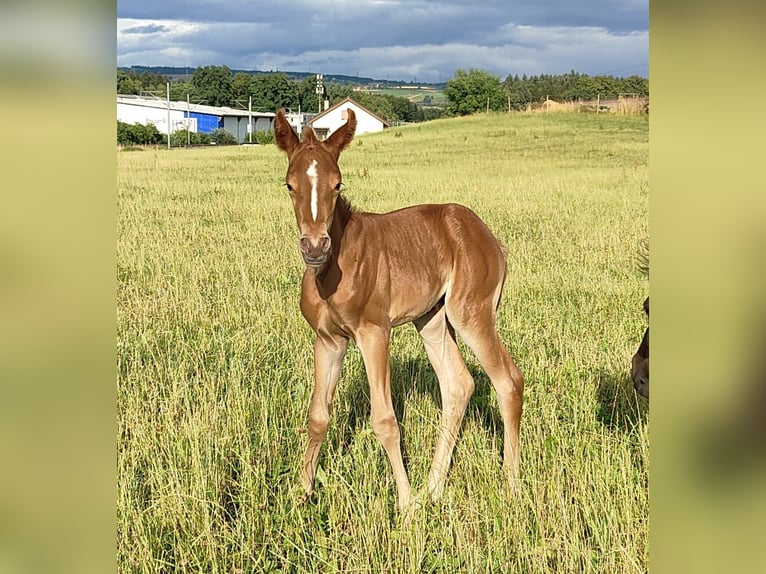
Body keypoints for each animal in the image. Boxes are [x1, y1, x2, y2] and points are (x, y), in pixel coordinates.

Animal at [272, 108, 524, 512]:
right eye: (289, 185)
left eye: (338, 184)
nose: (314, 247)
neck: (334, 268)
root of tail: (490, 237)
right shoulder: (328, 340)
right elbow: (318, 416)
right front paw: (301, 494)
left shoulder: (374, 332)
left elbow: (385, 420)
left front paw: (405, 505)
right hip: (432, 320)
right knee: (459, 385)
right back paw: (433, 488)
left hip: (471, 312)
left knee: (508, 382)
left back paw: (510, 486)